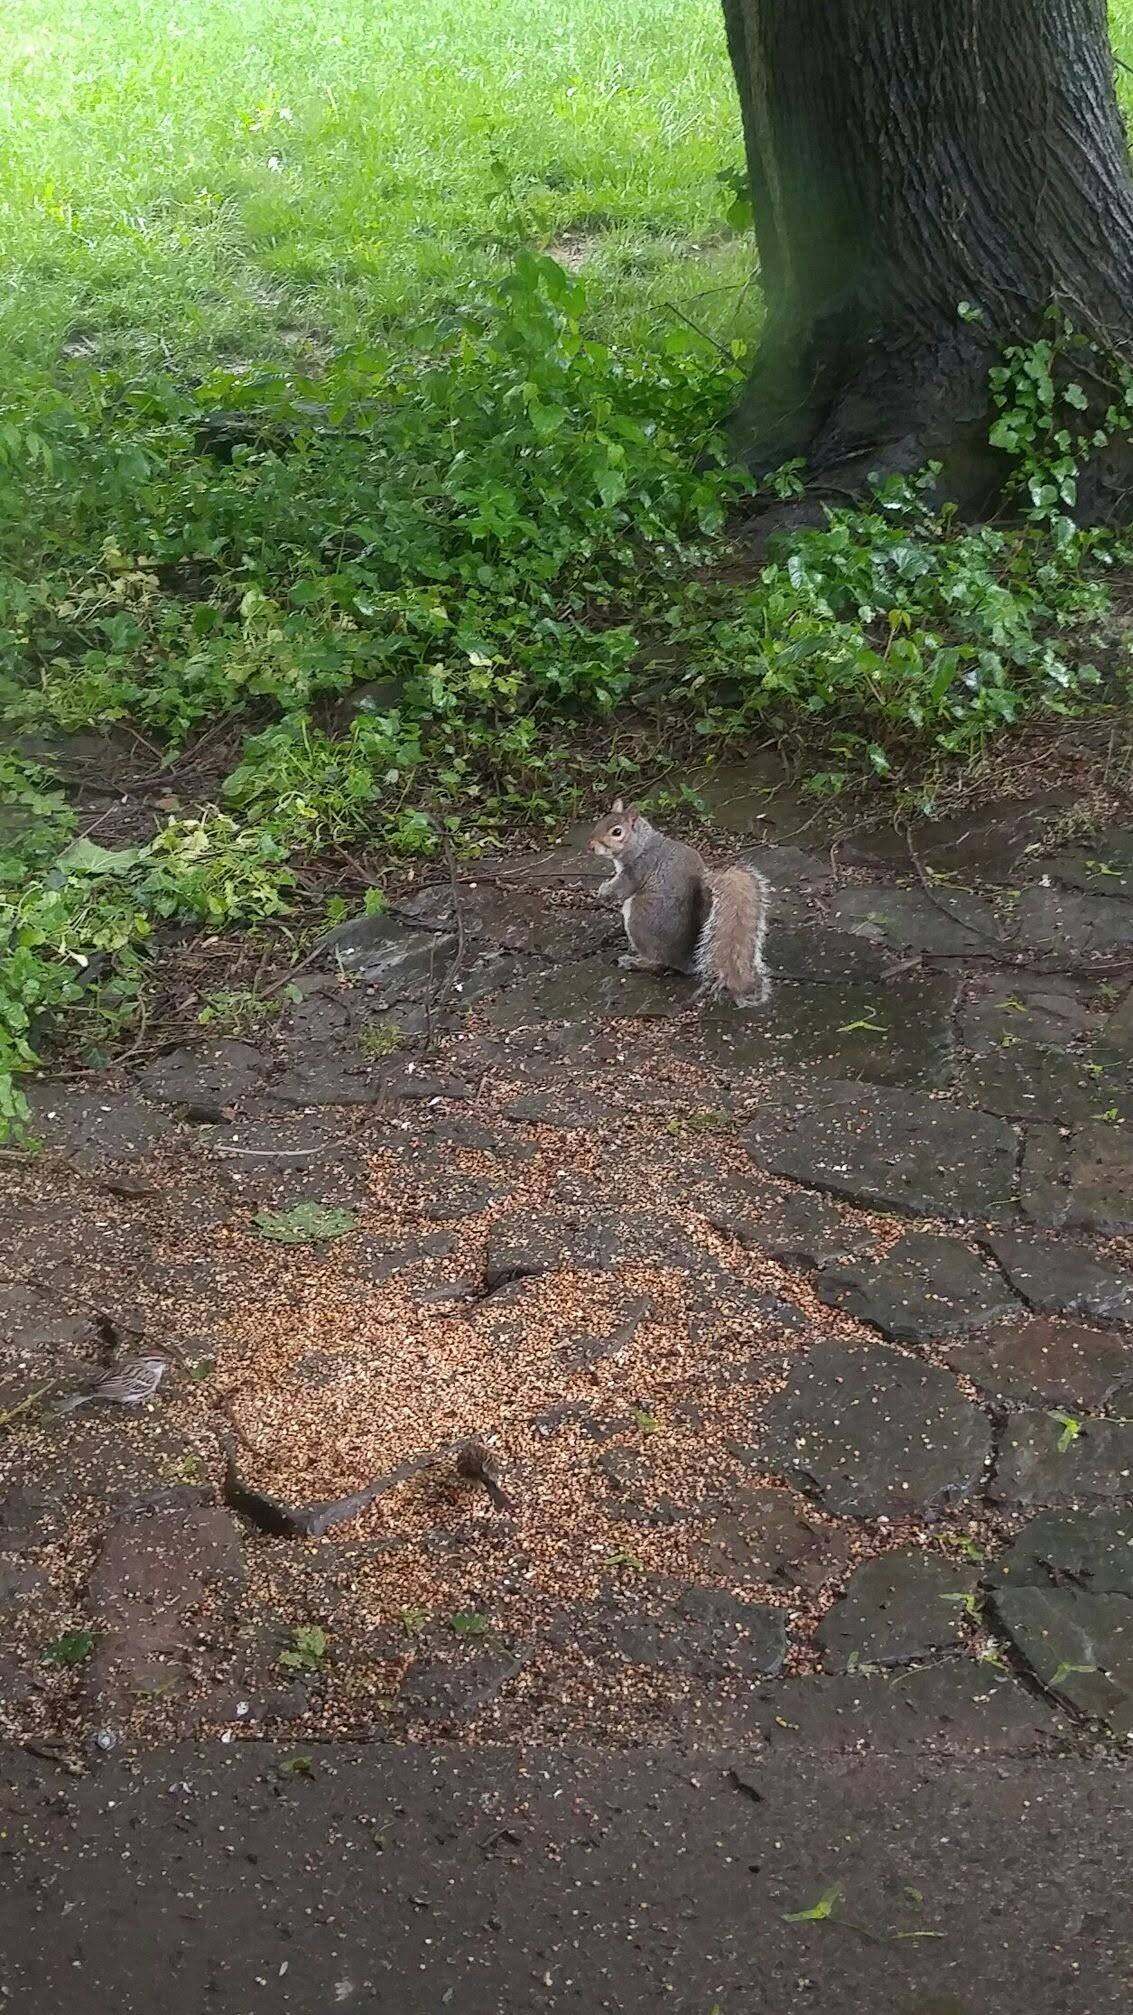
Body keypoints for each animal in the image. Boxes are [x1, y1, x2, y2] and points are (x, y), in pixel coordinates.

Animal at [588, 799, 771, 1007]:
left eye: (617, 832)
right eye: (600, 822)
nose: (591, 845)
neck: (641, 843)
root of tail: (689, 960)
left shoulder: (639, 869)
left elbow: (622, 888)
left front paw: (604, 891)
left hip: (638, 923)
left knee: (659, 963)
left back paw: (635, 962)